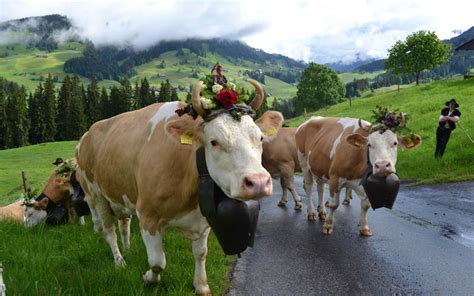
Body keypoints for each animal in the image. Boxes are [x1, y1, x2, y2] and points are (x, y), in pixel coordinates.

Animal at [76, 80, 284, 294]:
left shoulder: (202, 218)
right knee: (109, 231)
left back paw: (127, 249)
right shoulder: (148, 214)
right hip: (97, 195)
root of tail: (89, 133)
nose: (258, 182)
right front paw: (148, 278)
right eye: (214, 142)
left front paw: (201, 286)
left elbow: (201, 253)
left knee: (124, 224)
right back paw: (119, 261)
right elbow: (157, 262)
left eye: (260, 138)